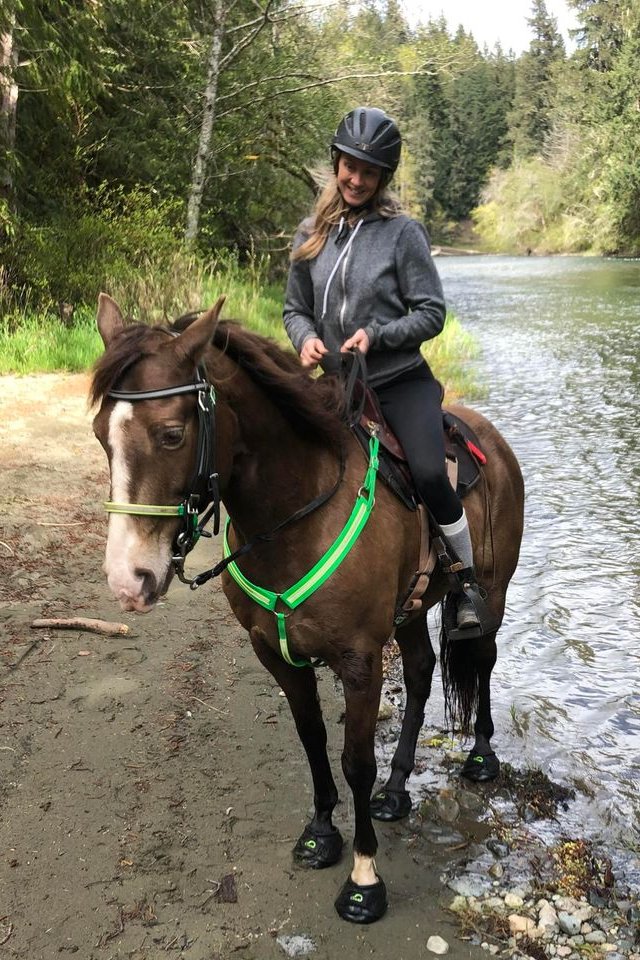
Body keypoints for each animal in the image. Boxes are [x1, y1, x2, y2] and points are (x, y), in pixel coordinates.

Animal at [90, 293, 524, 924]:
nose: (129, 579)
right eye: (101, 434)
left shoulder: (360, 661)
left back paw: (483, 757)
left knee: (483, 660)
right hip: (412, 608)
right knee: (421, 672)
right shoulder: (277, 655)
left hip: (492, 591)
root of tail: (490, 437)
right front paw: (322, 833)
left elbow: (356, 760)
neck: (296, 515)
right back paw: (397, 791)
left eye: (171, 434)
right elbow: (314, 740)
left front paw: (364, 881)